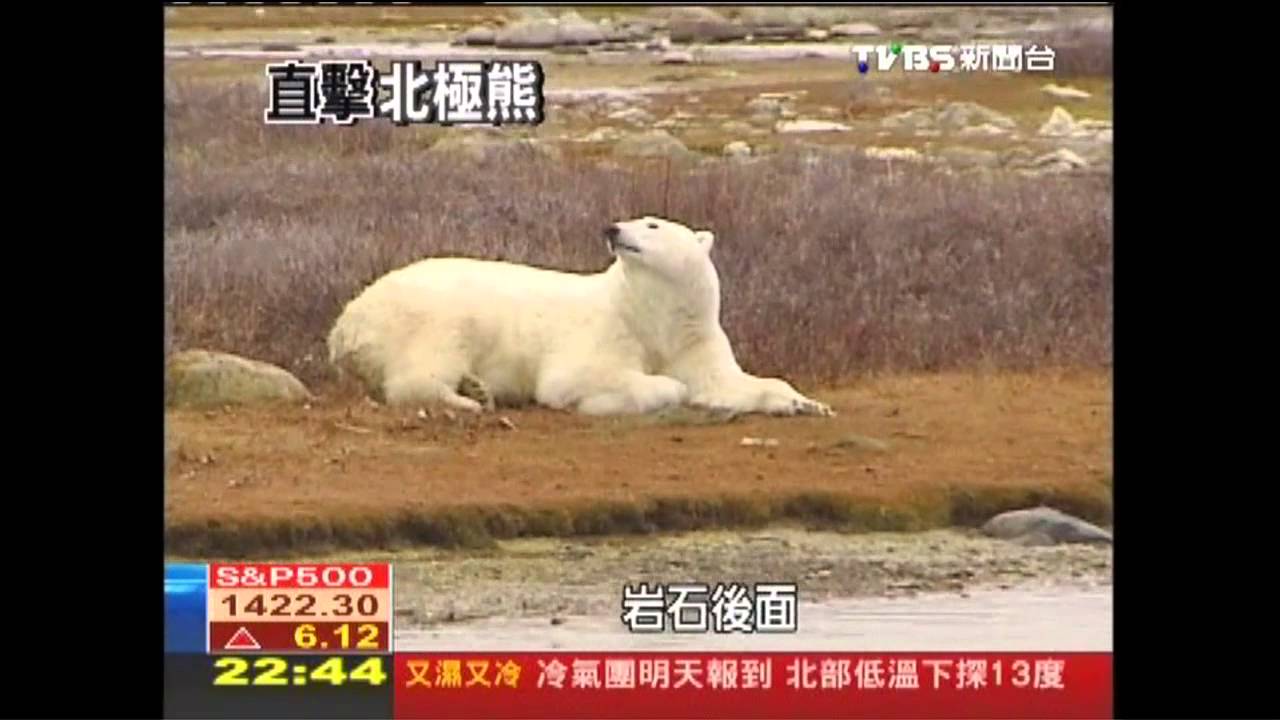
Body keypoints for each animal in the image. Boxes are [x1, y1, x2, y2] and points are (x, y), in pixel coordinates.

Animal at [326, 216, 834, 418]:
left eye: (652, 223)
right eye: (638, 218)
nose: (613, 228)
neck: (649, 312)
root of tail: (344, 324)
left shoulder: (692, 338)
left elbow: (725, 380)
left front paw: (803, 402)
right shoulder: (606, 330)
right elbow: (579, 377)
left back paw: (475, 388)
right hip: (434, 310)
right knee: (425, 361)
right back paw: (467, 399)